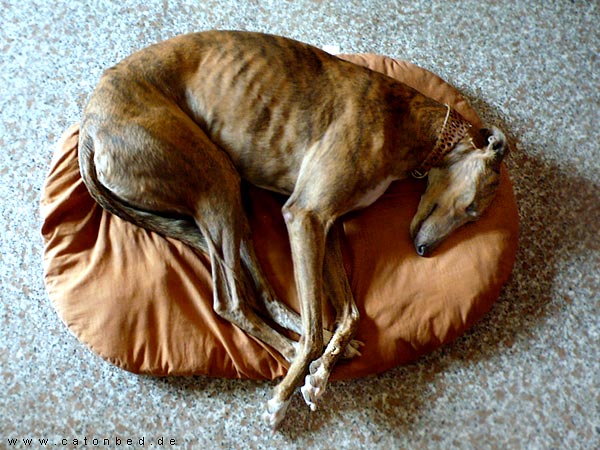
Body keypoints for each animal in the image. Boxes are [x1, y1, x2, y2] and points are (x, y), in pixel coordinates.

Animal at [78, 30, 507, 429]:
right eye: (471, 210)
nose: (424, 251)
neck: (407, 120)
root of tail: (89, 127)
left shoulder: (328, 225)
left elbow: (348, 315)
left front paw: (318, 377)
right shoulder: (306, 215)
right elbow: (320, 329)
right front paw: (283, 397)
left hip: (233, 199)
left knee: (262, 294)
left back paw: (305, 339)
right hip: (214, 179)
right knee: (230, 302)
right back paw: (288, 352)